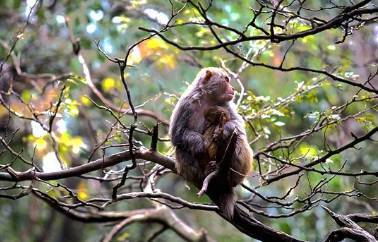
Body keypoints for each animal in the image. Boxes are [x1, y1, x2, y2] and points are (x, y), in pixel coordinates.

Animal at [169, 67, 252, 218]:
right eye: (226, 79)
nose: (232, 88)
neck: (209, 98)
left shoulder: (227, 104)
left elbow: (238, 128)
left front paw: (226, 129)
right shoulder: (186, 103)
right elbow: (177, 134)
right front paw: (199, 143)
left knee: (238, 140)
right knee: (181, 148)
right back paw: (203, 173)